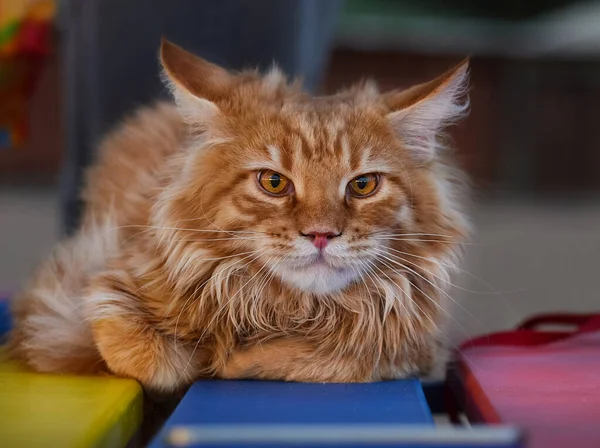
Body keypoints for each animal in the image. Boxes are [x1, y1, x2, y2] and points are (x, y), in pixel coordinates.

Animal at [8, 41, 468, 392]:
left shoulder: (418, 349)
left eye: (363, 185)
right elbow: (148, 357)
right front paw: (208, 355)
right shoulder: (86, 289)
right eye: (274, 183)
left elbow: (338, 358)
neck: (289, 309)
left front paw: (236, 358)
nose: (321, 234)